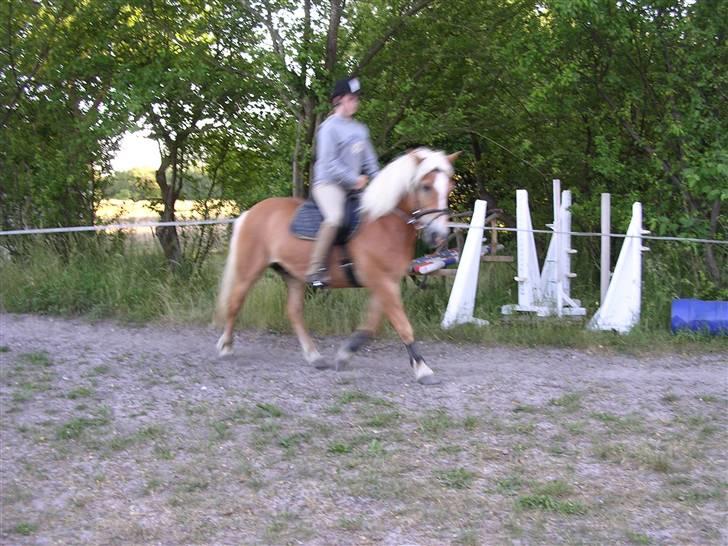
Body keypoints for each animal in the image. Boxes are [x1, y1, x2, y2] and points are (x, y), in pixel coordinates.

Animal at [213, 144, 460, 382]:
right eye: (425, 186)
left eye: (449, 188)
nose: (438, 236)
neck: (384, 222)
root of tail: (250, 213)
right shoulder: (381, 281)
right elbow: (402, 324)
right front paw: (422, 368)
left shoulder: (387, 282)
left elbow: (372, 324)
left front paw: (345, 354)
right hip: (250, 269)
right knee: (235, 302)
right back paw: (226, 347)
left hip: (293, 275)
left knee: (294, 312)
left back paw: (314, 356)